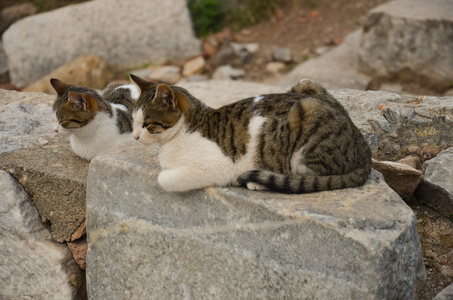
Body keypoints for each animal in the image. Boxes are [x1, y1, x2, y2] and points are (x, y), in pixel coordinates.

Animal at [130, 74, 370, 193]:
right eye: (133, 120)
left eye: (147, 124)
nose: (134, 137)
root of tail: (363, 147)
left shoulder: (214, 166)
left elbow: (164, 178)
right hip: (306, 84)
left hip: (307, 113)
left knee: (310, 175)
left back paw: (260, 181)